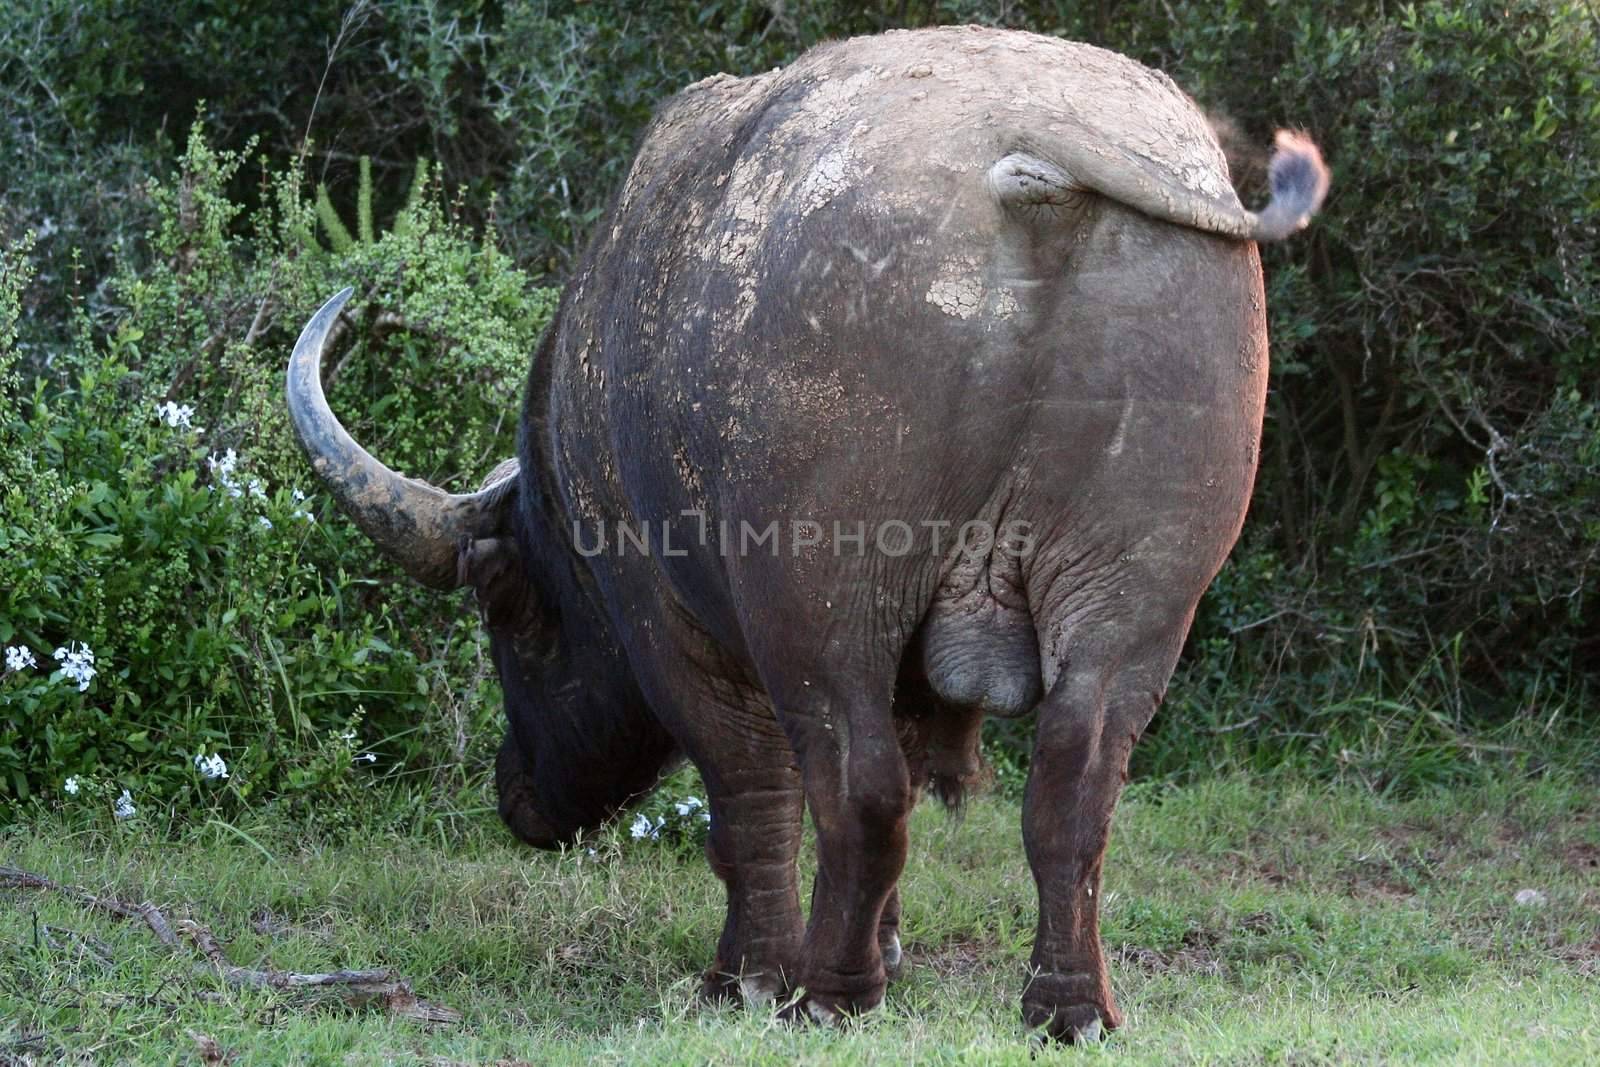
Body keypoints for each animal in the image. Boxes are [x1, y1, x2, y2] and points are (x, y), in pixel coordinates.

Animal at [288, 24, 1324, 1043]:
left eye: (505, 615)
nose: (521, 799)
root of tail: (1030, 153)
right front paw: (891, 947)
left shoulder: (671, 630)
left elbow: (749, 798)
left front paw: (744, 975)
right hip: (1136, 602)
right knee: (1075, 782)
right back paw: (1067, 1008)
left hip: (819, 601)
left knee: (856, 783)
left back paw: (825, 991)